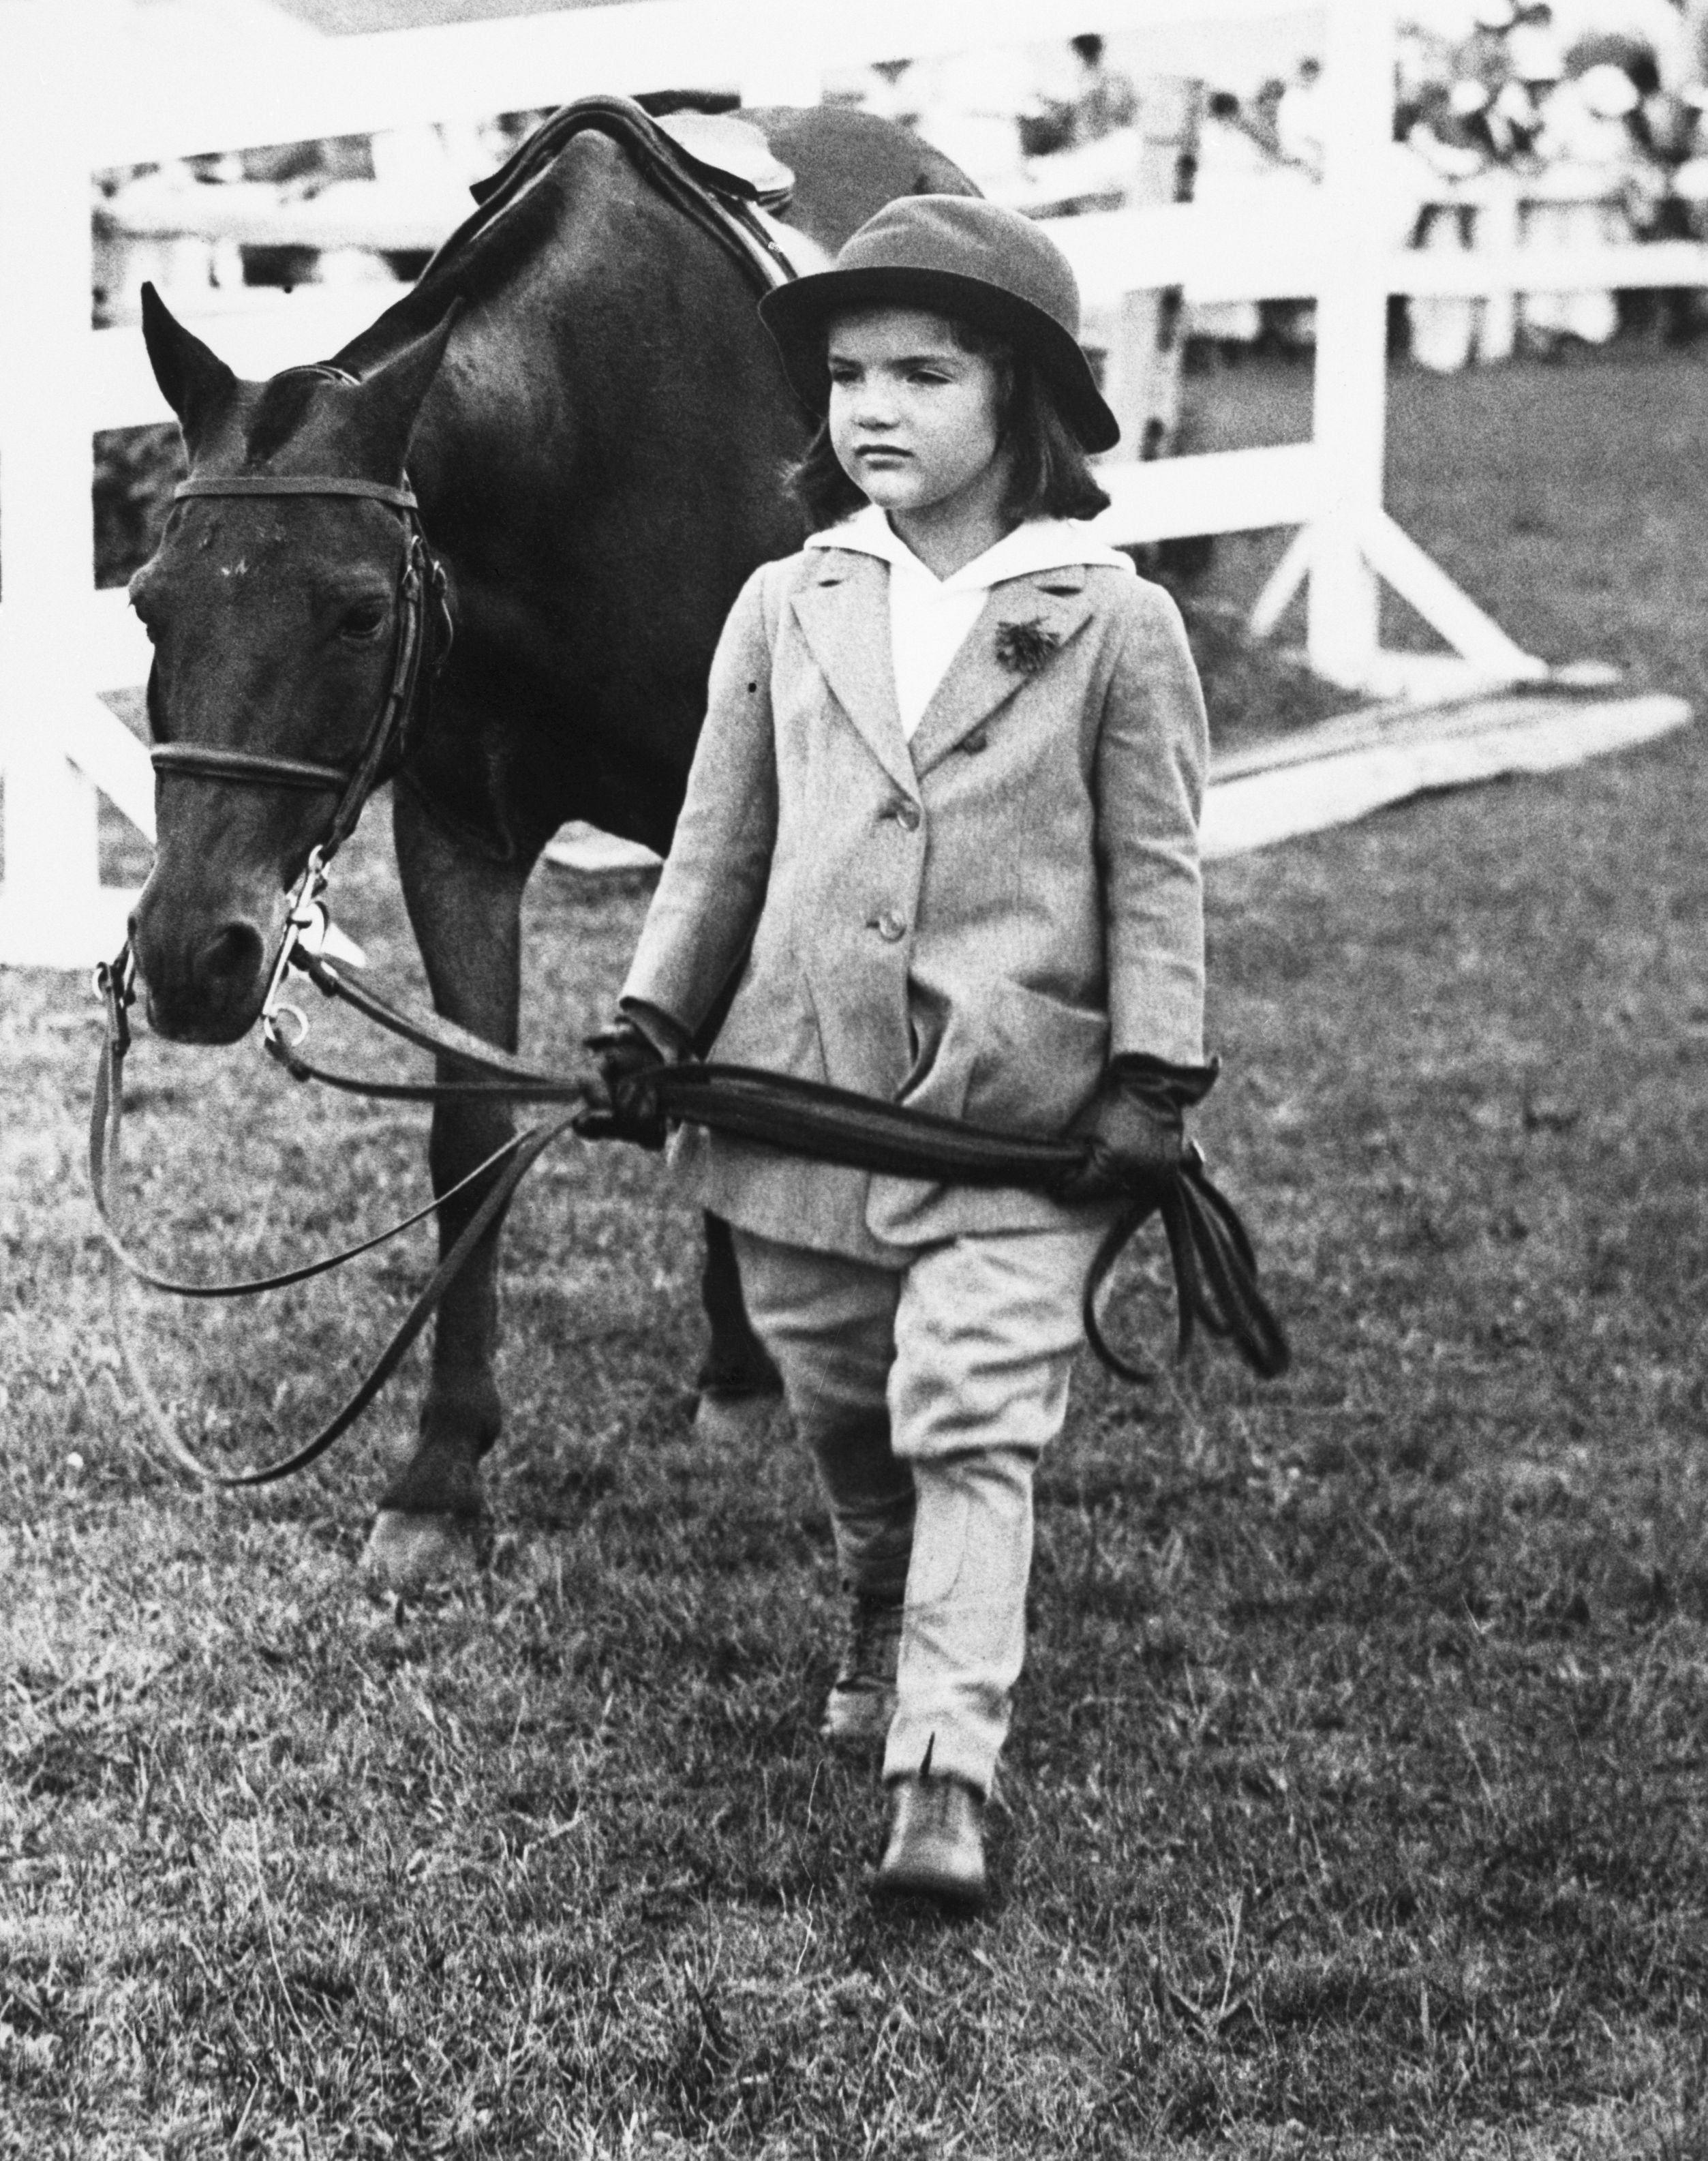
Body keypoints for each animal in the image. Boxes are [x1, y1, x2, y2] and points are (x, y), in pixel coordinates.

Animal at [123, 101, 976, 1582]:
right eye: (144, 604)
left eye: (358, 612)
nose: (192, 954)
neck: (581, 454)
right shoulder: (456, 833)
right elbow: (471, 1127)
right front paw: (440, 1470)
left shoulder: (743, 811)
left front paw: (757, 1372)